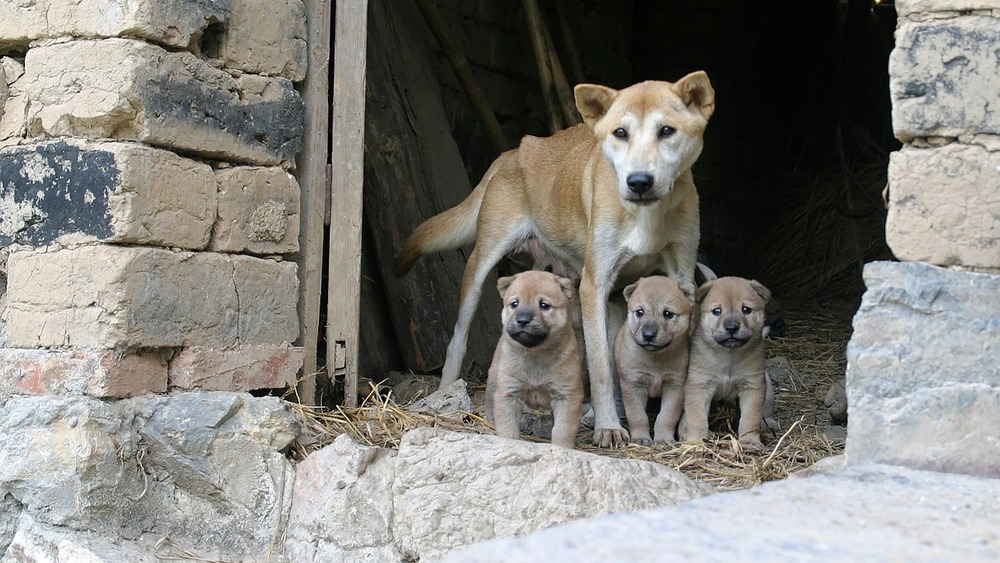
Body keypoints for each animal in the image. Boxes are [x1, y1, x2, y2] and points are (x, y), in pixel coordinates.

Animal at [482, 270, 584, 452]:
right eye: (514, 304)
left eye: (544, 305)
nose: (522, 320)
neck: (535, 354)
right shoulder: (508, 394)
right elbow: (507, 427)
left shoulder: (567, 395)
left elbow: (563, 430)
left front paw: (561, 450)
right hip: (494, 378)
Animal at [612, 276, 692, 446]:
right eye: (640, 312)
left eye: (668, 314)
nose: (648, 335)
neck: (656, 358)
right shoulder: (633, 384)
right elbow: (637, 416)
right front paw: (641, 438)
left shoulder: (675, 385)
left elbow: (667, 416)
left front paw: (664, 438)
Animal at [680, 278, 772, 450]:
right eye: (717, 311)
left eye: (746, 309)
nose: (731, 328)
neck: (728, 356)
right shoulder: (699, 385)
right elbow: (697, 418)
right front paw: (696, 441)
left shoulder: (752, 387)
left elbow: (750, 418)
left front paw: (750, 442)